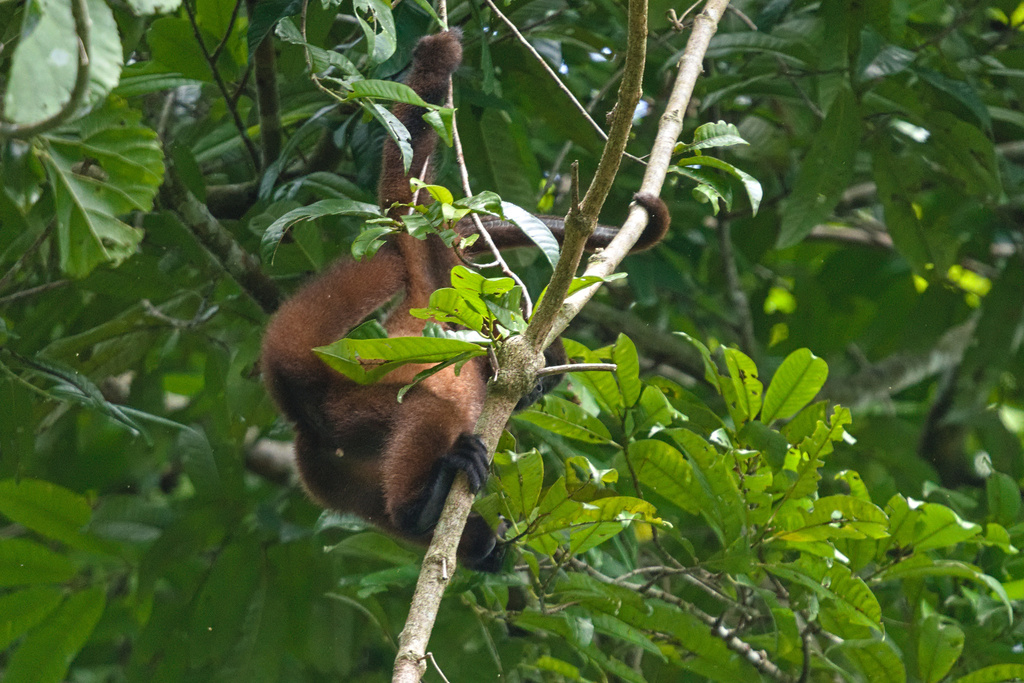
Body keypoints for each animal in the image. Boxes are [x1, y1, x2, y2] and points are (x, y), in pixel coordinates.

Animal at [260, 29, 669, 571]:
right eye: (541, 381)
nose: (532, 396)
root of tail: (308, 395)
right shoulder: (435, 288)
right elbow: (404, 197)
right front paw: (438, 56)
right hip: (353, 408)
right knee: (431, 406)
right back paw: (422, 503)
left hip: (325, 472)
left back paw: (461, 535)